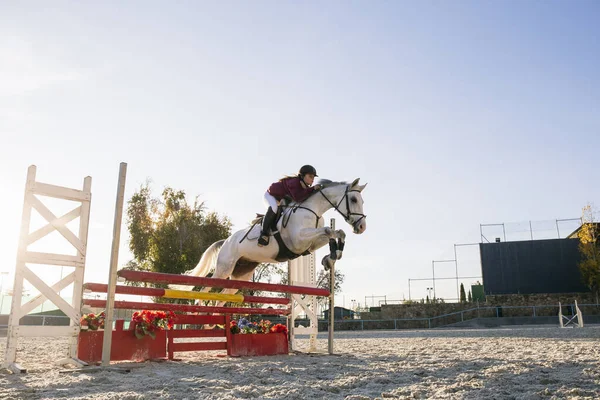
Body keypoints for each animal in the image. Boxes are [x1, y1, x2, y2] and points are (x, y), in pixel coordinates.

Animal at [169, 178, 366, 304]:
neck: (313, 210)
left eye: (362, 201)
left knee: (222, 298)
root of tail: (225, 241)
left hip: (241, 275)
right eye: (353, 199)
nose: (362, 227)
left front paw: (332, 256)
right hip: (224, 269)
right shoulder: (298, 240)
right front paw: (331, 255)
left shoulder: (309, 246)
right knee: (205, 291)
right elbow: (328, 230)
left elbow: (337, 232)